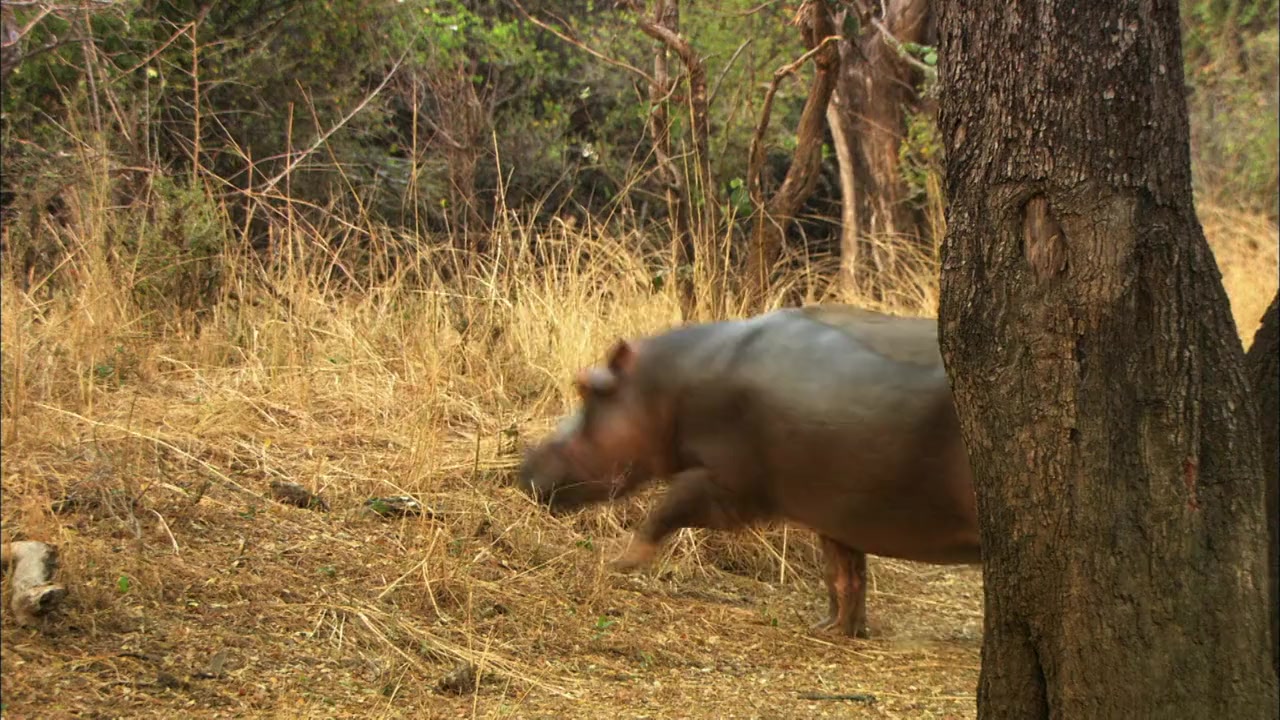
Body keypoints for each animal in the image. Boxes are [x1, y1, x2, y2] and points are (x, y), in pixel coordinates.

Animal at [515, 304, 980, 638]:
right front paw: (832, 630)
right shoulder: (837, 511)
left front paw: (618, 560)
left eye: (588, 387)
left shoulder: (726, 487)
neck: (662, 386)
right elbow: (844, 574)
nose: (524, 467)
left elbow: (665, 510)